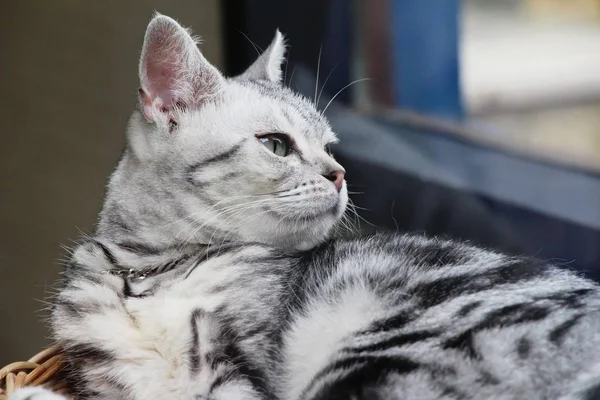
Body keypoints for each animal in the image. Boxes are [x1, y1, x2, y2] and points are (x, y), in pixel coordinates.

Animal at [10, 12, 600, 400]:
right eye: (276, 145)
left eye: (330, 148)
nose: (338, 174)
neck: (150, 273)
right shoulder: (101, 375)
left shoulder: (235, 371)